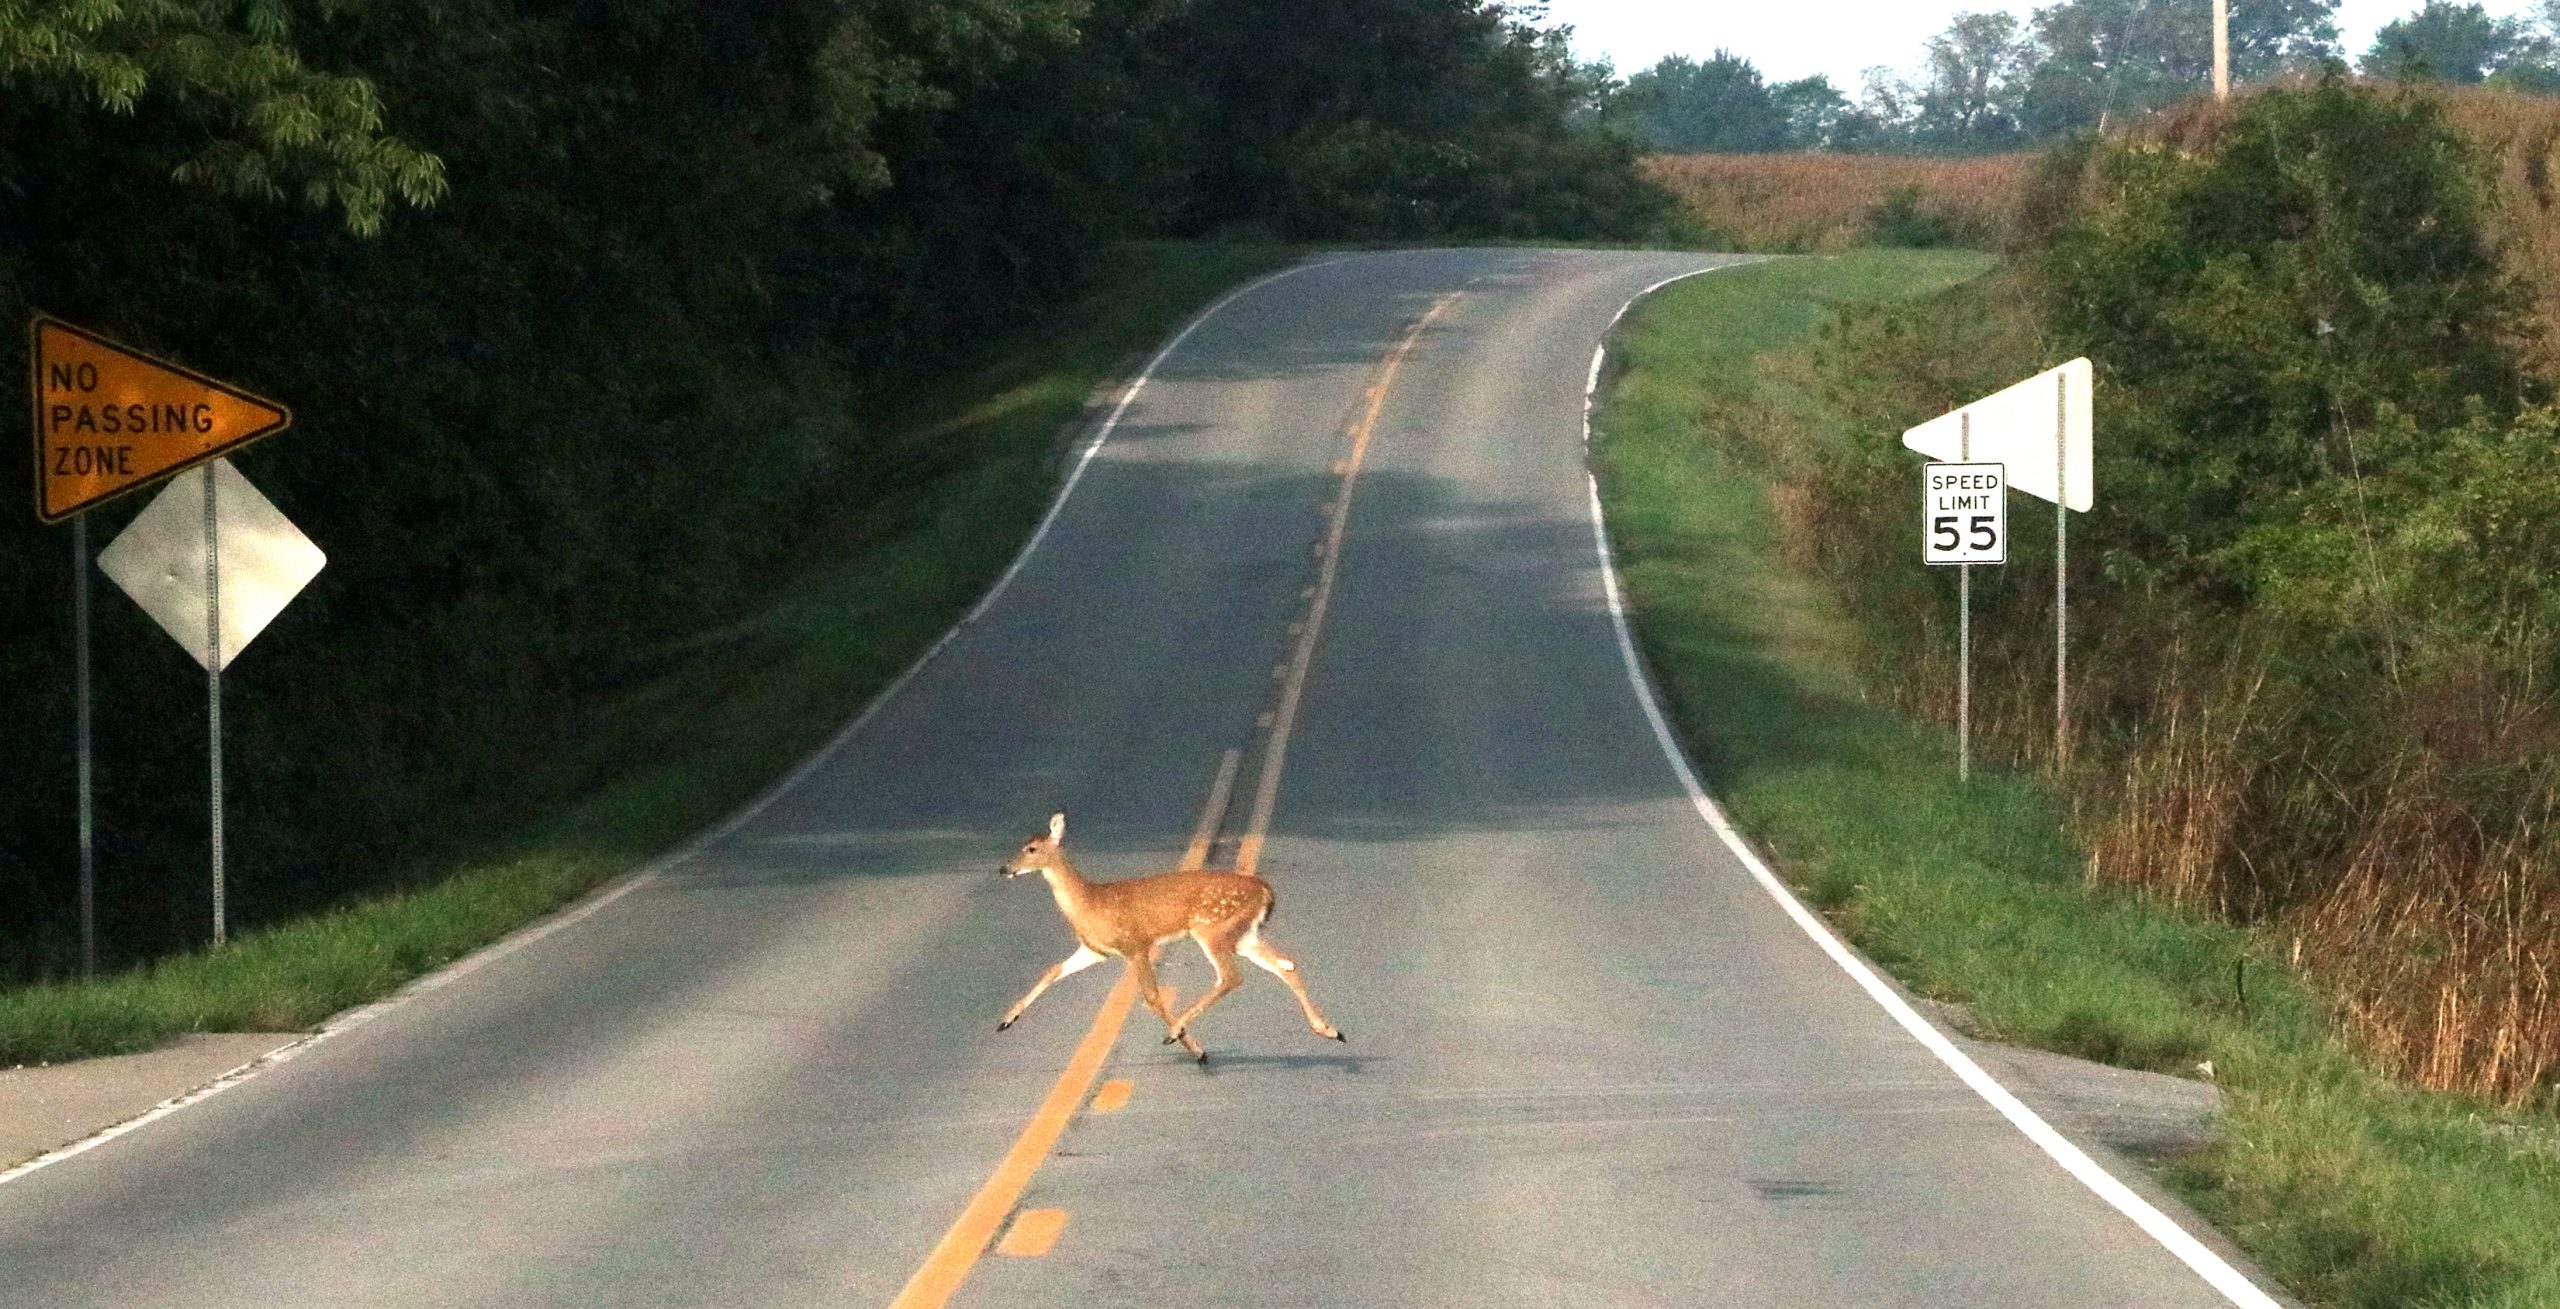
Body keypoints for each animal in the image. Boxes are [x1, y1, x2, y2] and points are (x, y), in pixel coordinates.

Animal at [997, 812, 1345, 1062]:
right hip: (1244, 935)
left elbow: (1151, 997)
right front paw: (1006, 1020)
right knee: (1286, 964)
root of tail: (1265, 889)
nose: (1004, 868)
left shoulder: (1136, 945)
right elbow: (1052, 970)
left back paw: (1177, 1032)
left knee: (1231, 976)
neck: (1091, 902)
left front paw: (1196, 1049)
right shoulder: (1096, 950)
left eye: (1032, 849)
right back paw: (1330, 1030)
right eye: (1022, 844)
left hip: (1211, 928)